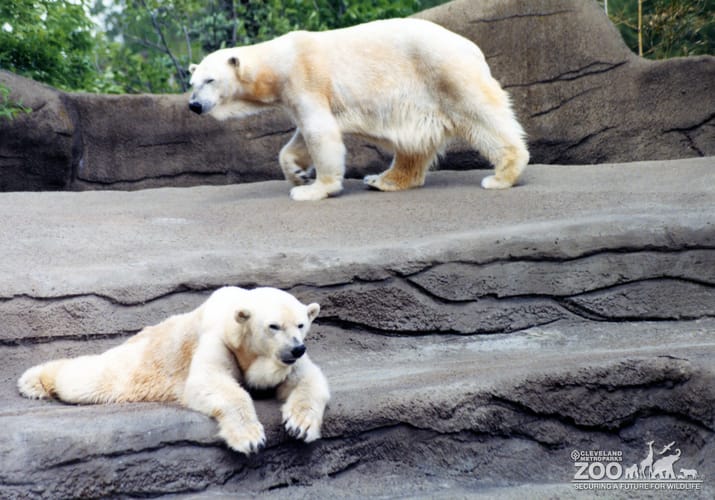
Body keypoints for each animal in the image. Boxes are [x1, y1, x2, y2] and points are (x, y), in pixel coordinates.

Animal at [17, 286, 330, 455]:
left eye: (301, 324)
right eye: (273, 326)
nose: (296, 348)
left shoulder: (288, 362)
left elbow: (310, 380)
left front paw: (300, 426)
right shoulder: (218, 340)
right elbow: (209, 382)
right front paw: (250, 439)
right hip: (140, 361)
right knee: (88, 379)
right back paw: (34, 381)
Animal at [188, 18, 529, 201]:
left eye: (210, 80)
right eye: (191, 82)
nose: (193, 105)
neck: (279, 63)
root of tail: (472, 48)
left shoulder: (307, 80)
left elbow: (320, 134)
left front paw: (312, 190)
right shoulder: (293, 95)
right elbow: (300, 138)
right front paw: (297, 174)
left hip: (444, 72)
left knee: (481, 114)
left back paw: (501, 175)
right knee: (413, 144)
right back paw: (382, 179)